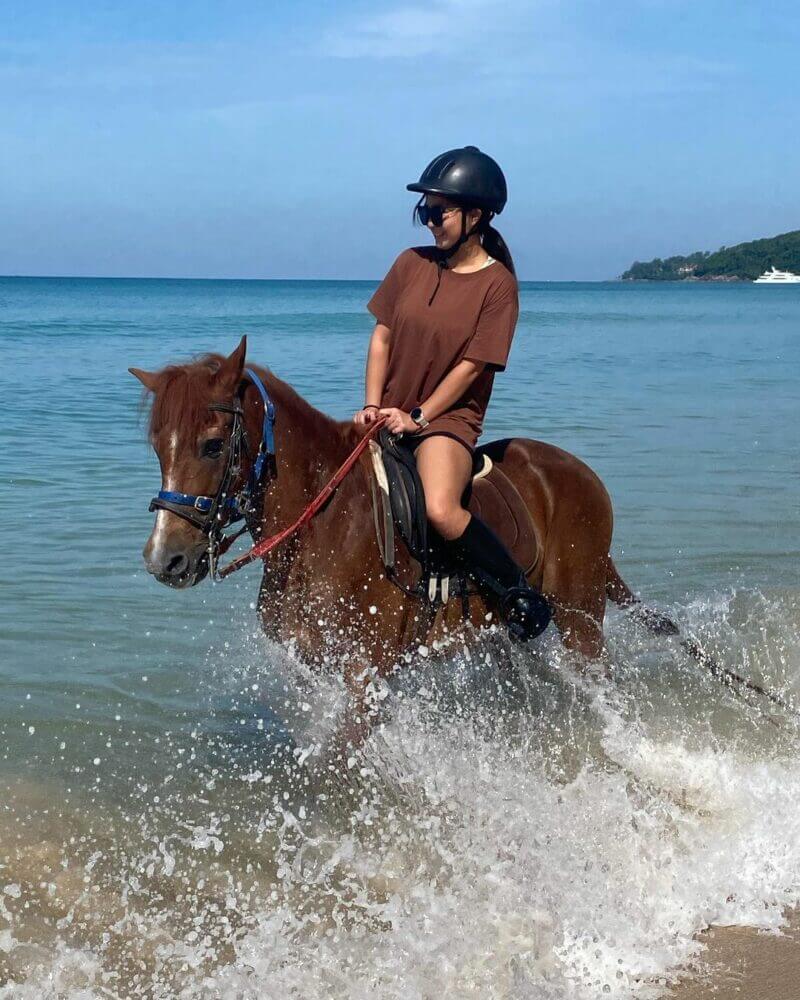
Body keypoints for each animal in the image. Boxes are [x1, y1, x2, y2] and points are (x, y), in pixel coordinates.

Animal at [131, 338, 644, 744]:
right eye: (157, 448)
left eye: (213, 445)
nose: (164, 559)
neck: (323, 525)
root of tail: (582, 473)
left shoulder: (366, 673)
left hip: (580, 620)